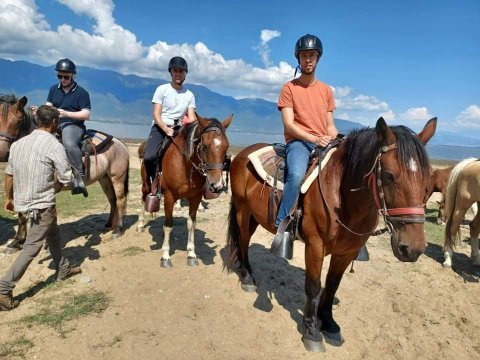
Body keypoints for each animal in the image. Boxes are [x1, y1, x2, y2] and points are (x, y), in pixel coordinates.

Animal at [137, 114, 232, 268]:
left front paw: (191, 254)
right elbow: (168, 225)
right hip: (146, 185)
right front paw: (165, 256)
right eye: (205, 147)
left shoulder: (195, 198)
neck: (185, 165)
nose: (217, 185)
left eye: (226, 146)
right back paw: (140, 224)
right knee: (143, 199)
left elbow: (191, 224)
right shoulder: (169, 197)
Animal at [225, 117, 436, 352]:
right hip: (243, 211)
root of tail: (242, 154)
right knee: (243, 240)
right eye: (389, 175)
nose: (413, 248)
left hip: (254, 215)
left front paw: (328, 322)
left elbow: (333, 284)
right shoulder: (315, 246)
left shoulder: (346, 252)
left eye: (428, 180)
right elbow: (313, 286)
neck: (342, 197)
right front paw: (311, 331)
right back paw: (247, 278)